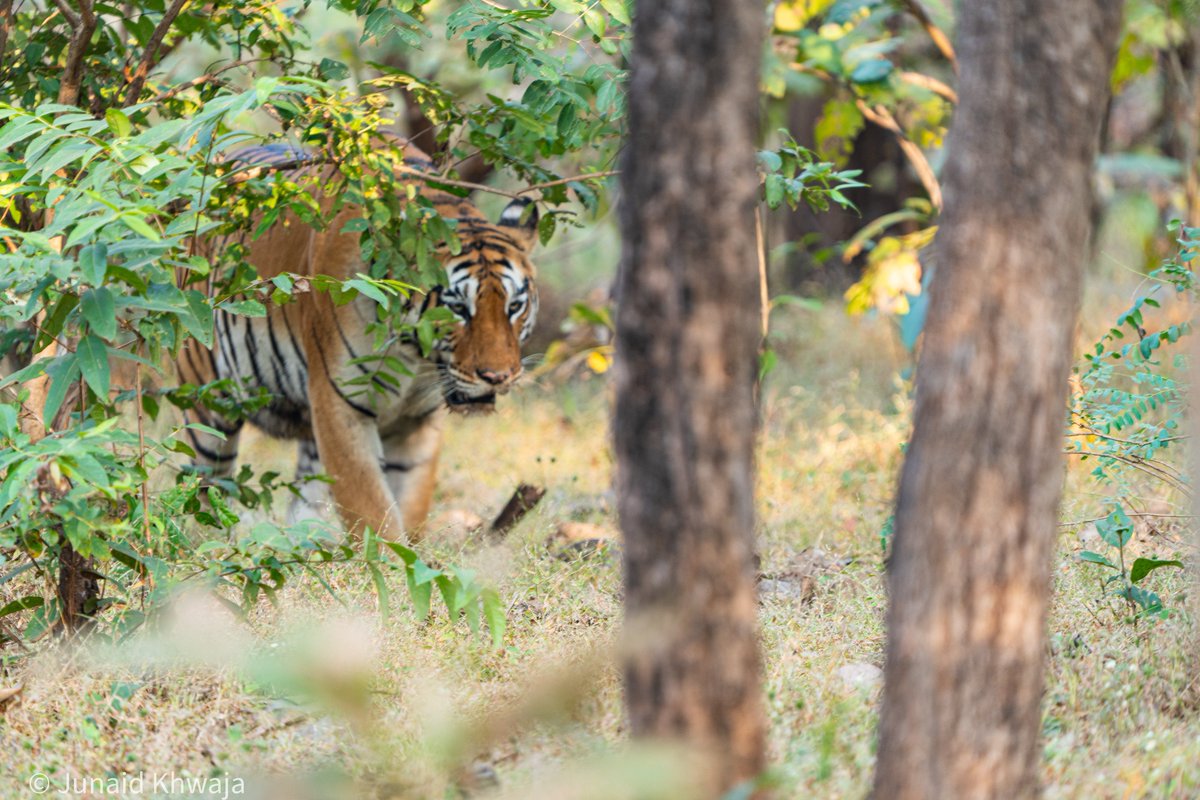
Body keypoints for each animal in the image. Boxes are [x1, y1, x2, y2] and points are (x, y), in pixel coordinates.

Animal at [177, 140, 540, 541]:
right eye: (458, 308)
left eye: (515, 306)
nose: (498, 377)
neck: (416, 354)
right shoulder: (341, 405)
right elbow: (371, 510)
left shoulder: (416, 423)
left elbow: (408, 506)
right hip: (207, 398)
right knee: (205, 486)